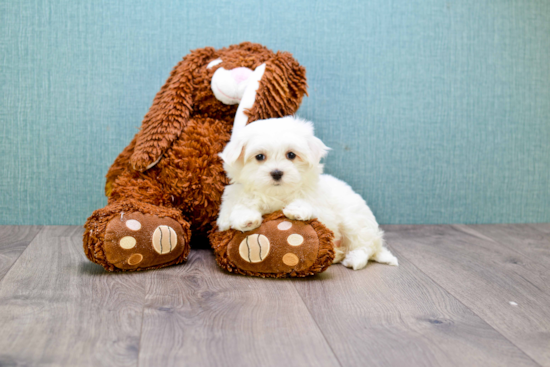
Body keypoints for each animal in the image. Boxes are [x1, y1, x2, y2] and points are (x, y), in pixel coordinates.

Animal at [218, 116, 398, 272]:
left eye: (291, 155)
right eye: (260, 157)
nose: (277, 173)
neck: (276, 194)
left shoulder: (320, 206)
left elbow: (310, 206)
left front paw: (297, 210)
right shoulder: (230, 204)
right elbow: (239, 207)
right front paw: (246, 218)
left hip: (355, 222)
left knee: (364, 247)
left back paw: (354, 259)